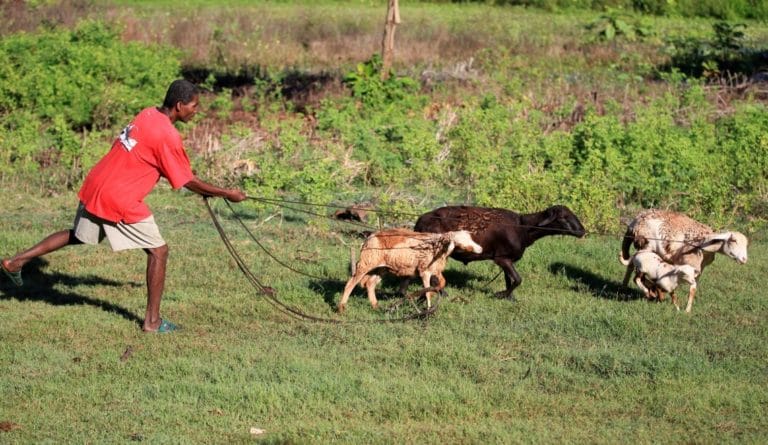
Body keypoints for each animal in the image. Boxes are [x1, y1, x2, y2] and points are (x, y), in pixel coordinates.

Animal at [336, 229, 480, 312]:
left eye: (470, 238)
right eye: (460, 240)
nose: (480, 249)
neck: (438, 246)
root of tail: (370, 237)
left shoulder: (436, 270)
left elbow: (441, 283)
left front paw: (423, 298)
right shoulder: (425, 271)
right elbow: (428, 291)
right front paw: (428, 308)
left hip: (382, 268)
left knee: (370, 284)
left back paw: (376, 306)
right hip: (367, 262)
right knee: (351, 283)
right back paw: (342, 307)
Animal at [416, 204, 584, 300]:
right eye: (562, 218)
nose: (582, 231)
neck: (523, 228)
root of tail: (420, 220)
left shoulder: (507, 258)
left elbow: (509, 279)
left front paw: (509, 298)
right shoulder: (501, 258)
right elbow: (518, 279)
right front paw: (500, 294)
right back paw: (442, 293)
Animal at [616, 209, 752, 310]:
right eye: (733, 240)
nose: (744, 259)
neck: (704, 246)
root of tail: (637, 219)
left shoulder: (698, 270)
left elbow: (693, 289)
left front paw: (687, 308)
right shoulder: (687, 265)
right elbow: (691, 288)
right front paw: (685, 310)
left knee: (632, 266)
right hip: (645, 246)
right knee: (634, 267)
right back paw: (640, 290)